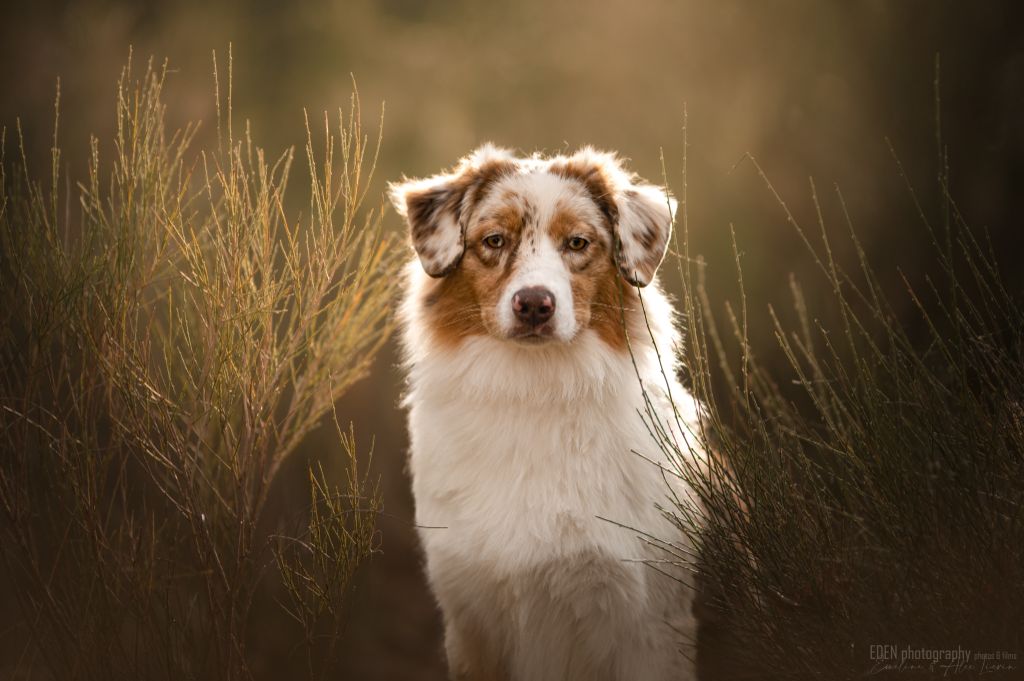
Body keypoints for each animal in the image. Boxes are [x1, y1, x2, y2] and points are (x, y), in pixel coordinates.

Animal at [389, 144, 704, 679]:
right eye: (494, 240)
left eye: (577, 242)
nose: (534, 304)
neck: (536, 390)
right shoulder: (472, 620)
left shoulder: (651, 623)